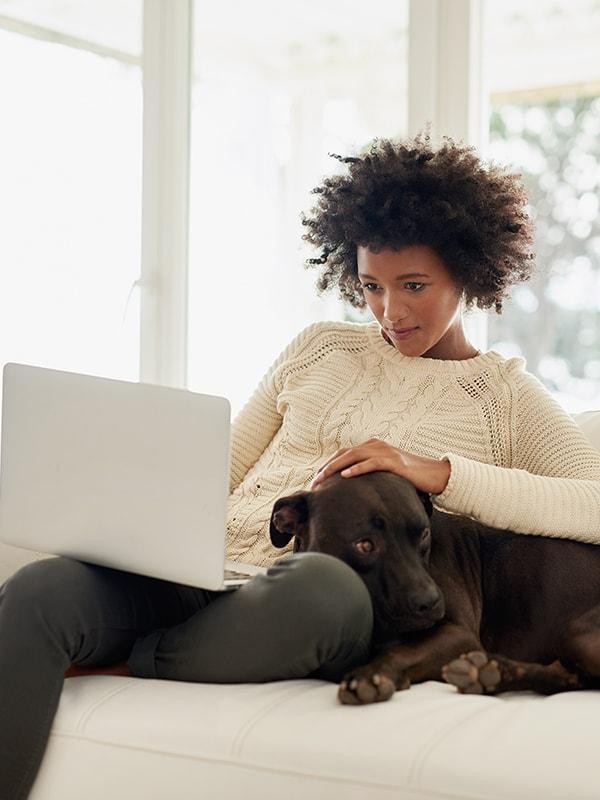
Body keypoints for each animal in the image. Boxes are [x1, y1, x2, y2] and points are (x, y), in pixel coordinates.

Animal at [270, 472, 600, 704]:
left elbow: (404, 650)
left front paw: (372, 674)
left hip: (577, 633)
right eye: (364, 545)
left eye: (423, 533)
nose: (429, 603)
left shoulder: (458, 635)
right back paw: (491, 675)